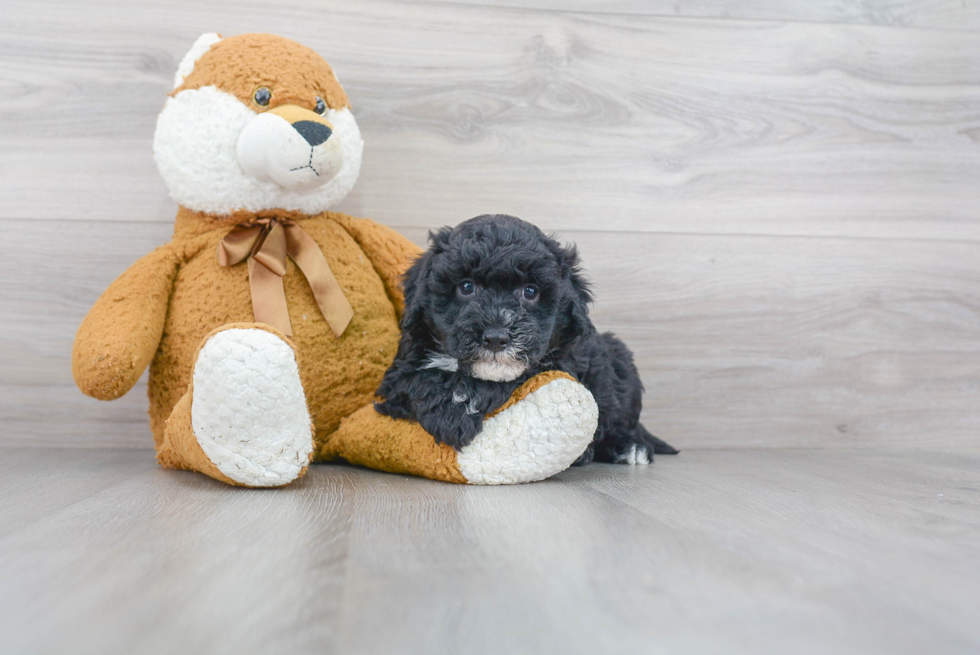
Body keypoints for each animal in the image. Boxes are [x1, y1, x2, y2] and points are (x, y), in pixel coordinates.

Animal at [372, 215, 676, 466]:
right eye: (466, 287)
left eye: (530, 291)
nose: (496, 337)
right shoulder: (398, 375)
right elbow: (420, 378)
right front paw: (452, 412)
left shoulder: (559, 361)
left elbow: (521, 375)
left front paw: (463, 403)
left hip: (619, 359)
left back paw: (631, 446)